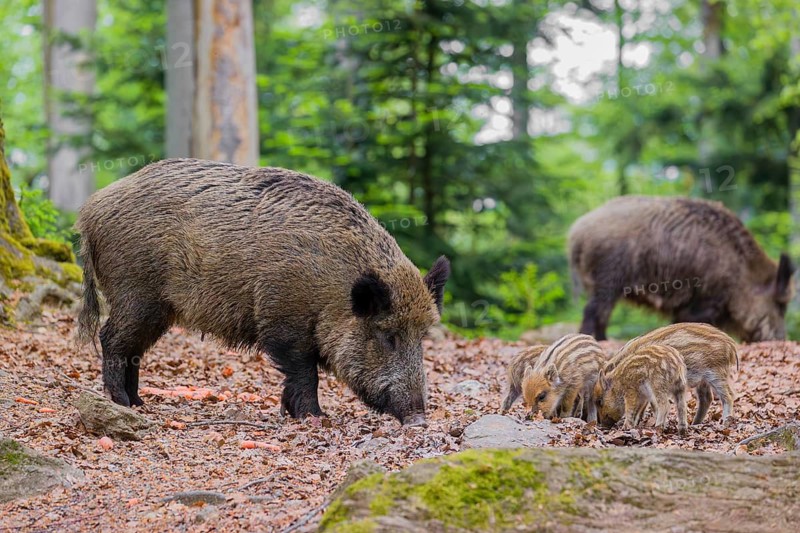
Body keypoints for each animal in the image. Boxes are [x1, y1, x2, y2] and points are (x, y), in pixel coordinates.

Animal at [76, 158, 450, 426]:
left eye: (423, 336)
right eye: (388, 336)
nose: (419, 420)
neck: (334, 288)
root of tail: (90, 209)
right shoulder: (284, 319)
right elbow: (305, 373)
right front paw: (314, 417)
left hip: (156, 308)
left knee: (133, 349)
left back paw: (138, 402)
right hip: (135, 294)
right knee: (111, 338)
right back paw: (121, 403)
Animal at [568, 195, 795, 341]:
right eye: (780, 305)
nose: (780, 340)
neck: (741, 272)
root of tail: (576, 232)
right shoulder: (705, 299)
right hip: (607, 278)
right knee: (594, 310)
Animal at [600, 323, 738, 424]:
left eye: (600, 400)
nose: (603, 424)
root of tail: (731, 344)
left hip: (716, 373)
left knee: (728, 395)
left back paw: (725, 422)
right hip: (703, 379)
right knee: (706, 398)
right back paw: (695, 424)